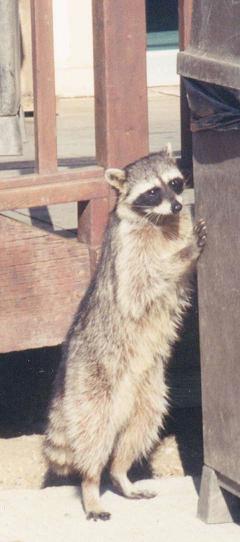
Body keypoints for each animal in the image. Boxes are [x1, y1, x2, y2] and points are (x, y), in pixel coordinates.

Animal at [43, 146, 206, 524]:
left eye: (175, 183)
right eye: (152, 192)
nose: (177, 206)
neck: (161, 222)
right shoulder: (128, 251)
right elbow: (139, 287)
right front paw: (185, 252)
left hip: (149, 392)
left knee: (138, 430)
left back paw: (120, 473)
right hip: (93, 385)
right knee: (94, 435)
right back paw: (91, 486)